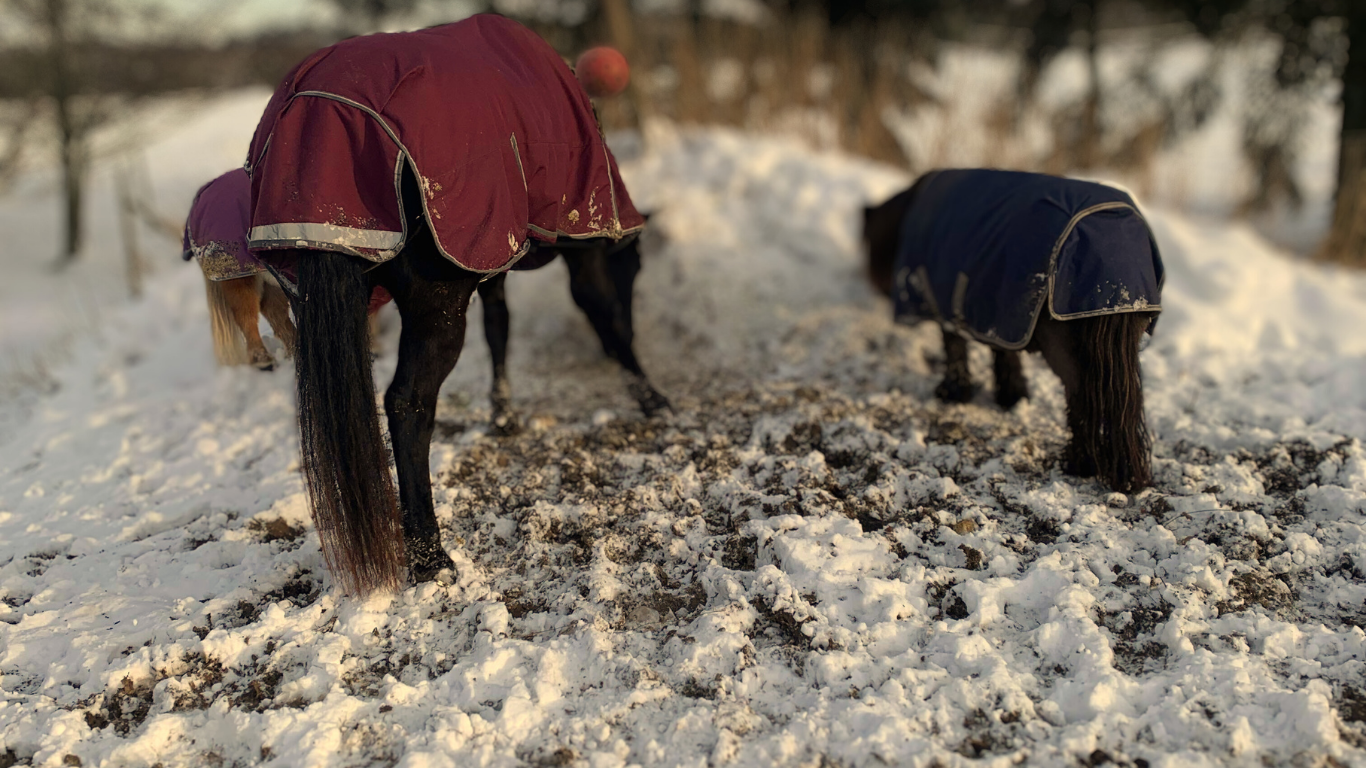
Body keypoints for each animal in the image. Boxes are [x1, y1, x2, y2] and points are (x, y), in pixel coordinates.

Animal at [248, 16, 669, 593]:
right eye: (635, 267)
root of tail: (315, 113)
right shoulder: (581, 245)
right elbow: (604, 318)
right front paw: (650, 396)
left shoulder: (491, 254)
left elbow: (500, 326)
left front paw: (503, 413)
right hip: (437, 306)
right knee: (407, 403)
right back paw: (429, 552)